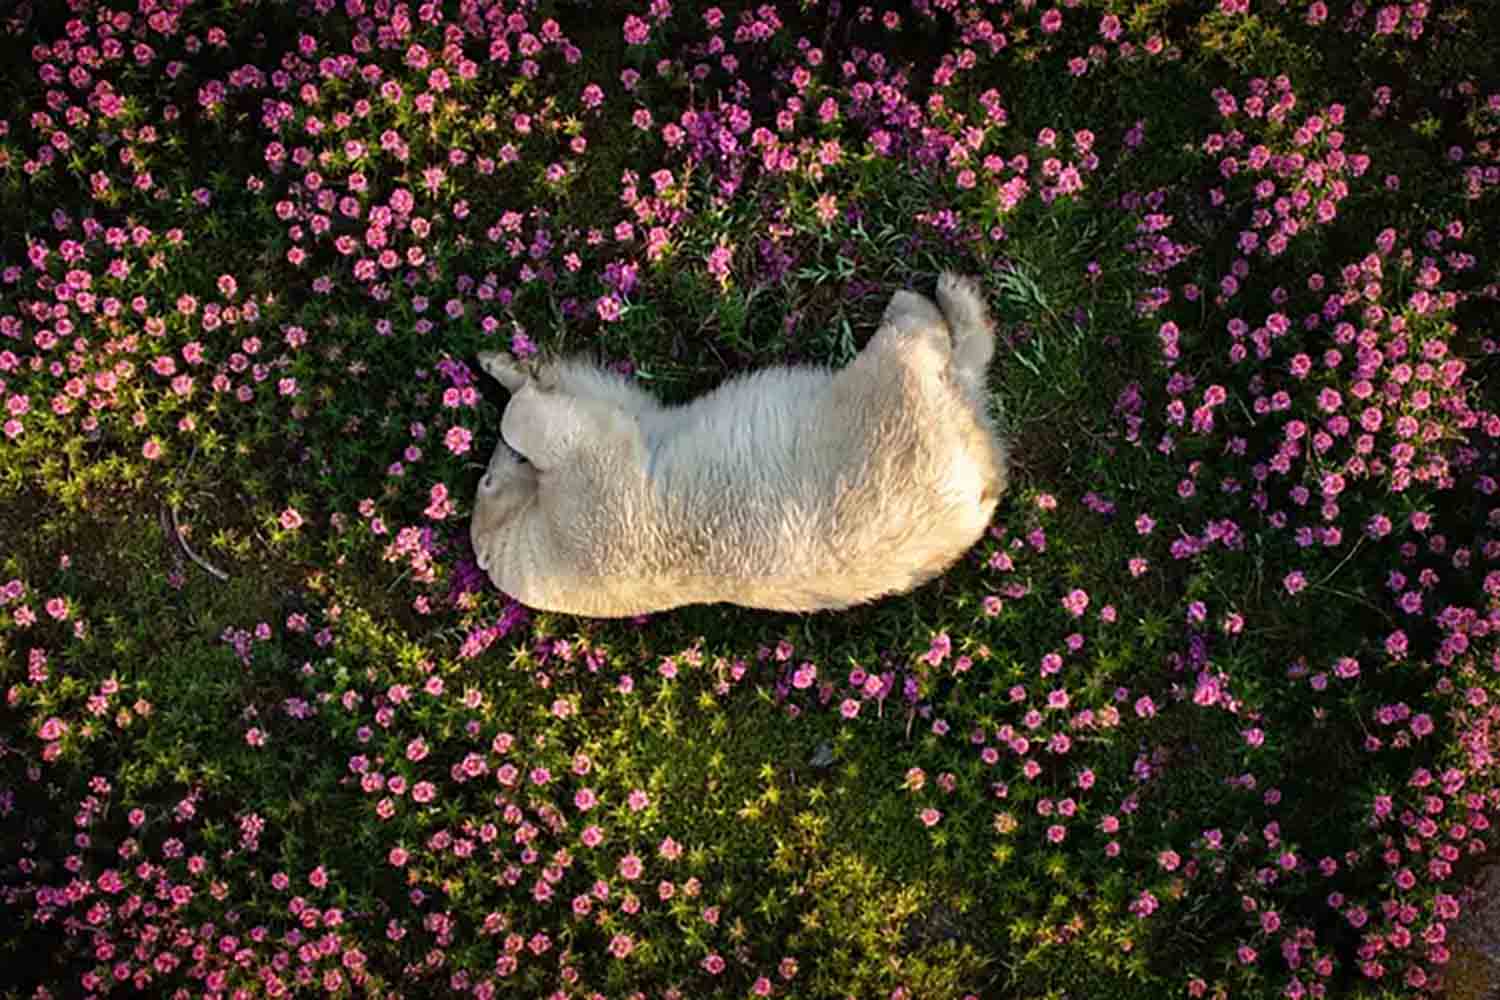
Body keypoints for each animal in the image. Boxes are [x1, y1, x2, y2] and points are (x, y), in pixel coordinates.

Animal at [468, 274, 1008, 617]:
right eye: (489, 477)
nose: (496, 459)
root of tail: (979, 485)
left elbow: (601, 398)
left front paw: (502, 363)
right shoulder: (592, 520)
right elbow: (571, 424)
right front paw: (515, 385)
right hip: (893, 416)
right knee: (917, 351)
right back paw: (937, 298)